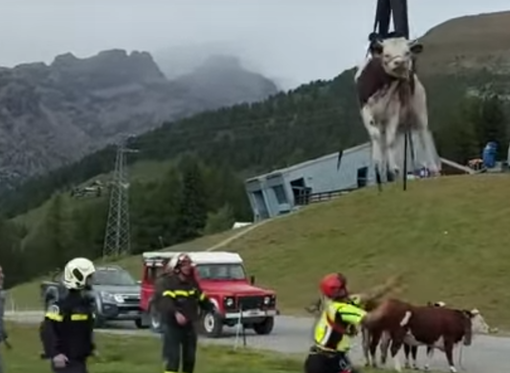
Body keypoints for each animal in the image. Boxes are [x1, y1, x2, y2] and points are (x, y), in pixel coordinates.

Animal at [352, 36, 440, 180]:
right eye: (386, 54)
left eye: (407, 53)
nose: (399, 62)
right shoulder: (365, 110)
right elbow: (376, 137)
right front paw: (379, 168)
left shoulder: (393, 113)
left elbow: (389, 141)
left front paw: (392, 168)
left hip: (420, 113)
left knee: (422, 137)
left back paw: (432, 169)